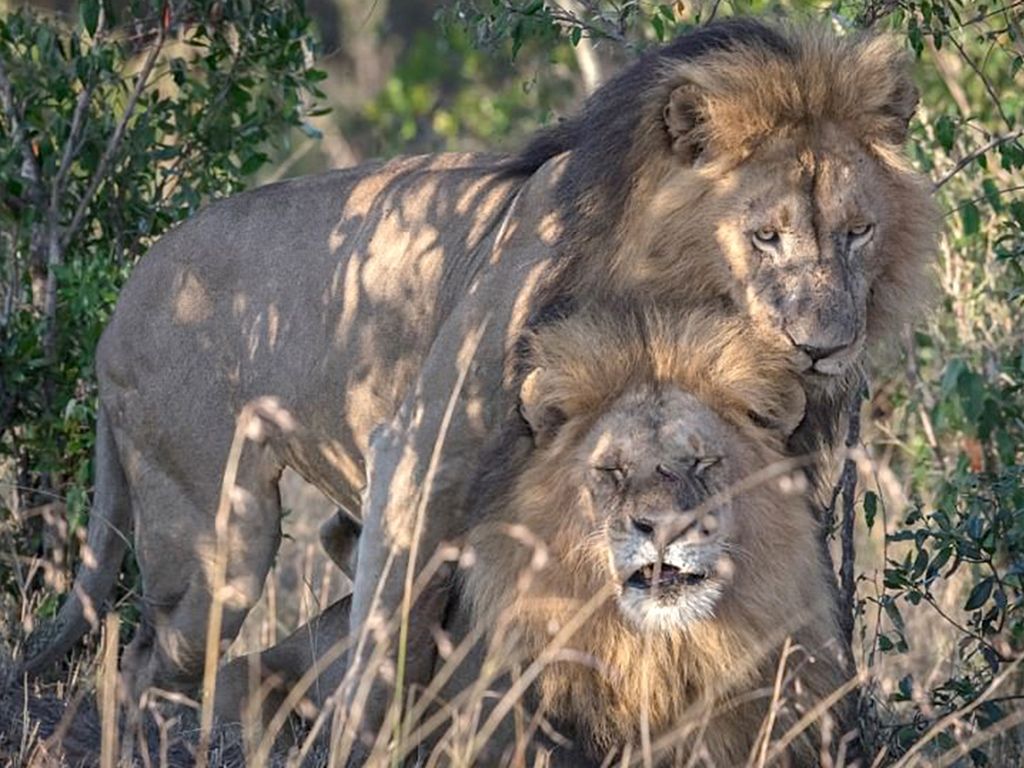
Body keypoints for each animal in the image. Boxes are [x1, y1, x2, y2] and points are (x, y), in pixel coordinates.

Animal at [22, 19, 934, 747]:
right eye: (765, 236)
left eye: (858, 232)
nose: (823, 349)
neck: (662, 294)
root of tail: (122, 301)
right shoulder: (419, 450)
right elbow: (385, 647)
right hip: (220, 539)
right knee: (146, 662)